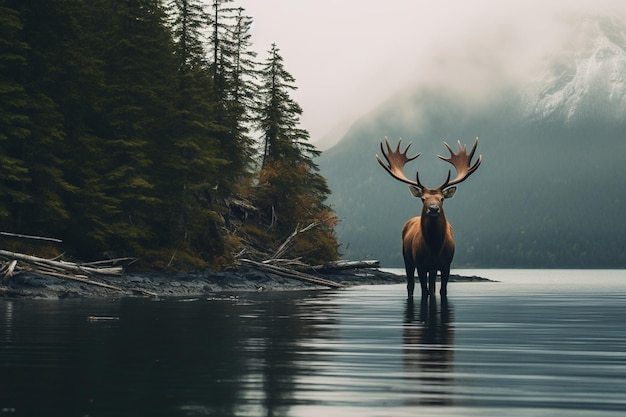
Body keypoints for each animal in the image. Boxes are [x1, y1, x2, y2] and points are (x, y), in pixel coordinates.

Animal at [376, 138, 478, 298]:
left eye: (442, 198)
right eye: (423, 199)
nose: (434, 208)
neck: (434, 248)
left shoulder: (446, 265)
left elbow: (441, 291)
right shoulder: (421, 264)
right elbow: (424, 291)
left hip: (432, 268)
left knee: (432, 287)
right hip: (407, 258)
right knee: (411, 284)